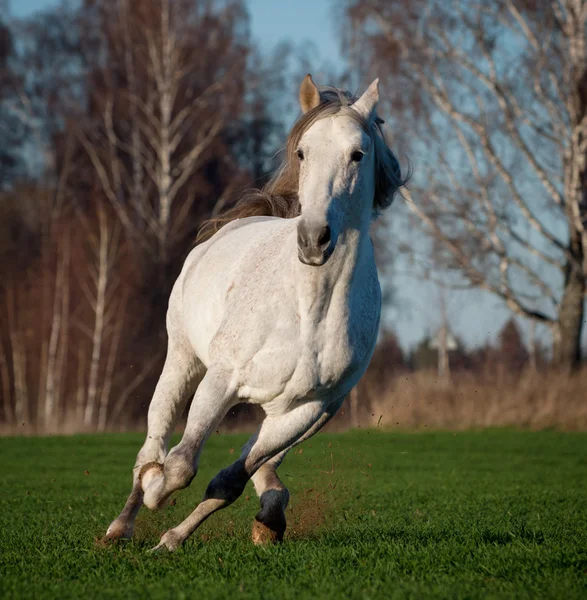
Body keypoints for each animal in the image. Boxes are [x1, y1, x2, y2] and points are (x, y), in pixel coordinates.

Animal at [104, 75, 404, 552]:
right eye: (303, 152)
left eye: (358, 154)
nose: (314, 239)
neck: (309, 309)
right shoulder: (222, 380)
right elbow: (180, 465)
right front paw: (156, 494)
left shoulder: (311, 410)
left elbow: (228, 482)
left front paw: (172, 540)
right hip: (182, 360)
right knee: (153, 445)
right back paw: (122, 524)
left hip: (283, 412)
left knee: (259, 466)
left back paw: (268, 514)